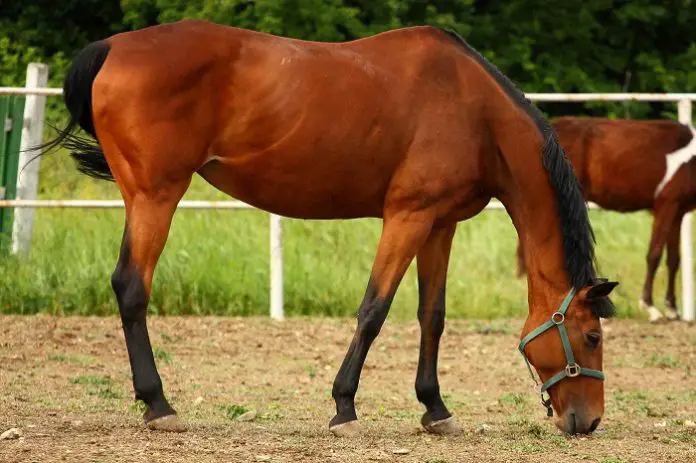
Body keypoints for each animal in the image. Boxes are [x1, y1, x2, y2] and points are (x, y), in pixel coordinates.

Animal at [39, 20, 617, 436]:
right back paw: (159, 404)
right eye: (591, 336)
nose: (588, 422)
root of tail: (112, 47)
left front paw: (435, 409)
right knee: (132, 287)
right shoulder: (407, 216)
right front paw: (344, 407)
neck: (476, 113)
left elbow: (431, 317)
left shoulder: (439, 224)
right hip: (155, 195)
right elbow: (373, 310)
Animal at [515, 117, 695, 322]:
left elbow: (674, 260)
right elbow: (654, 255)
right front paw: (650, 307)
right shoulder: (665, 206)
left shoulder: (678, 212)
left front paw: (672, 309)